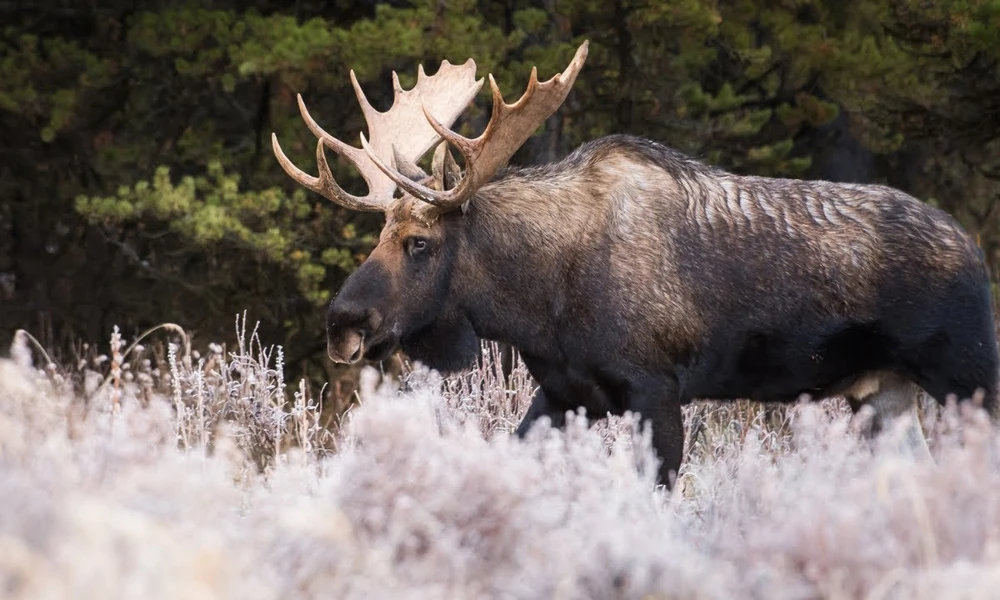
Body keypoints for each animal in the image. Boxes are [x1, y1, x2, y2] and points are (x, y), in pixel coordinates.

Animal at [272, 41, 999, 487]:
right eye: (379, 234)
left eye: (420, 243)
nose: (344, 323)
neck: (537, 303)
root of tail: (974, 250)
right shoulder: (566, 391)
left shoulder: (657, 389)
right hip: (885, 393)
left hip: (966, 371)